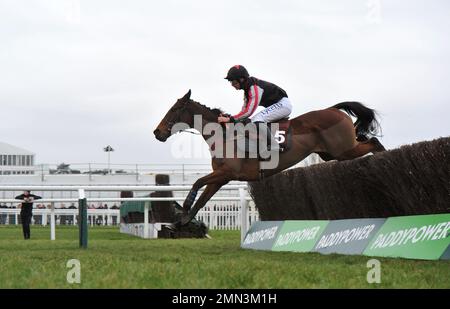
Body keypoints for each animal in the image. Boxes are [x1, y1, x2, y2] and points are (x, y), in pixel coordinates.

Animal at [153, 89, 384, 224]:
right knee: (368, 140)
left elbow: (197, 182)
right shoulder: (221, 177)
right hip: (331, 153)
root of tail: (333, 109)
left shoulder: (227, 173)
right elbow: (203, 198)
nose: (157, 132)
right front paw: (183, 220)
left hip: (342, 150)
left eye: (174, 109)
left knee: (373, 142)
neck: (224, 135)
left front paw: (183, 210)